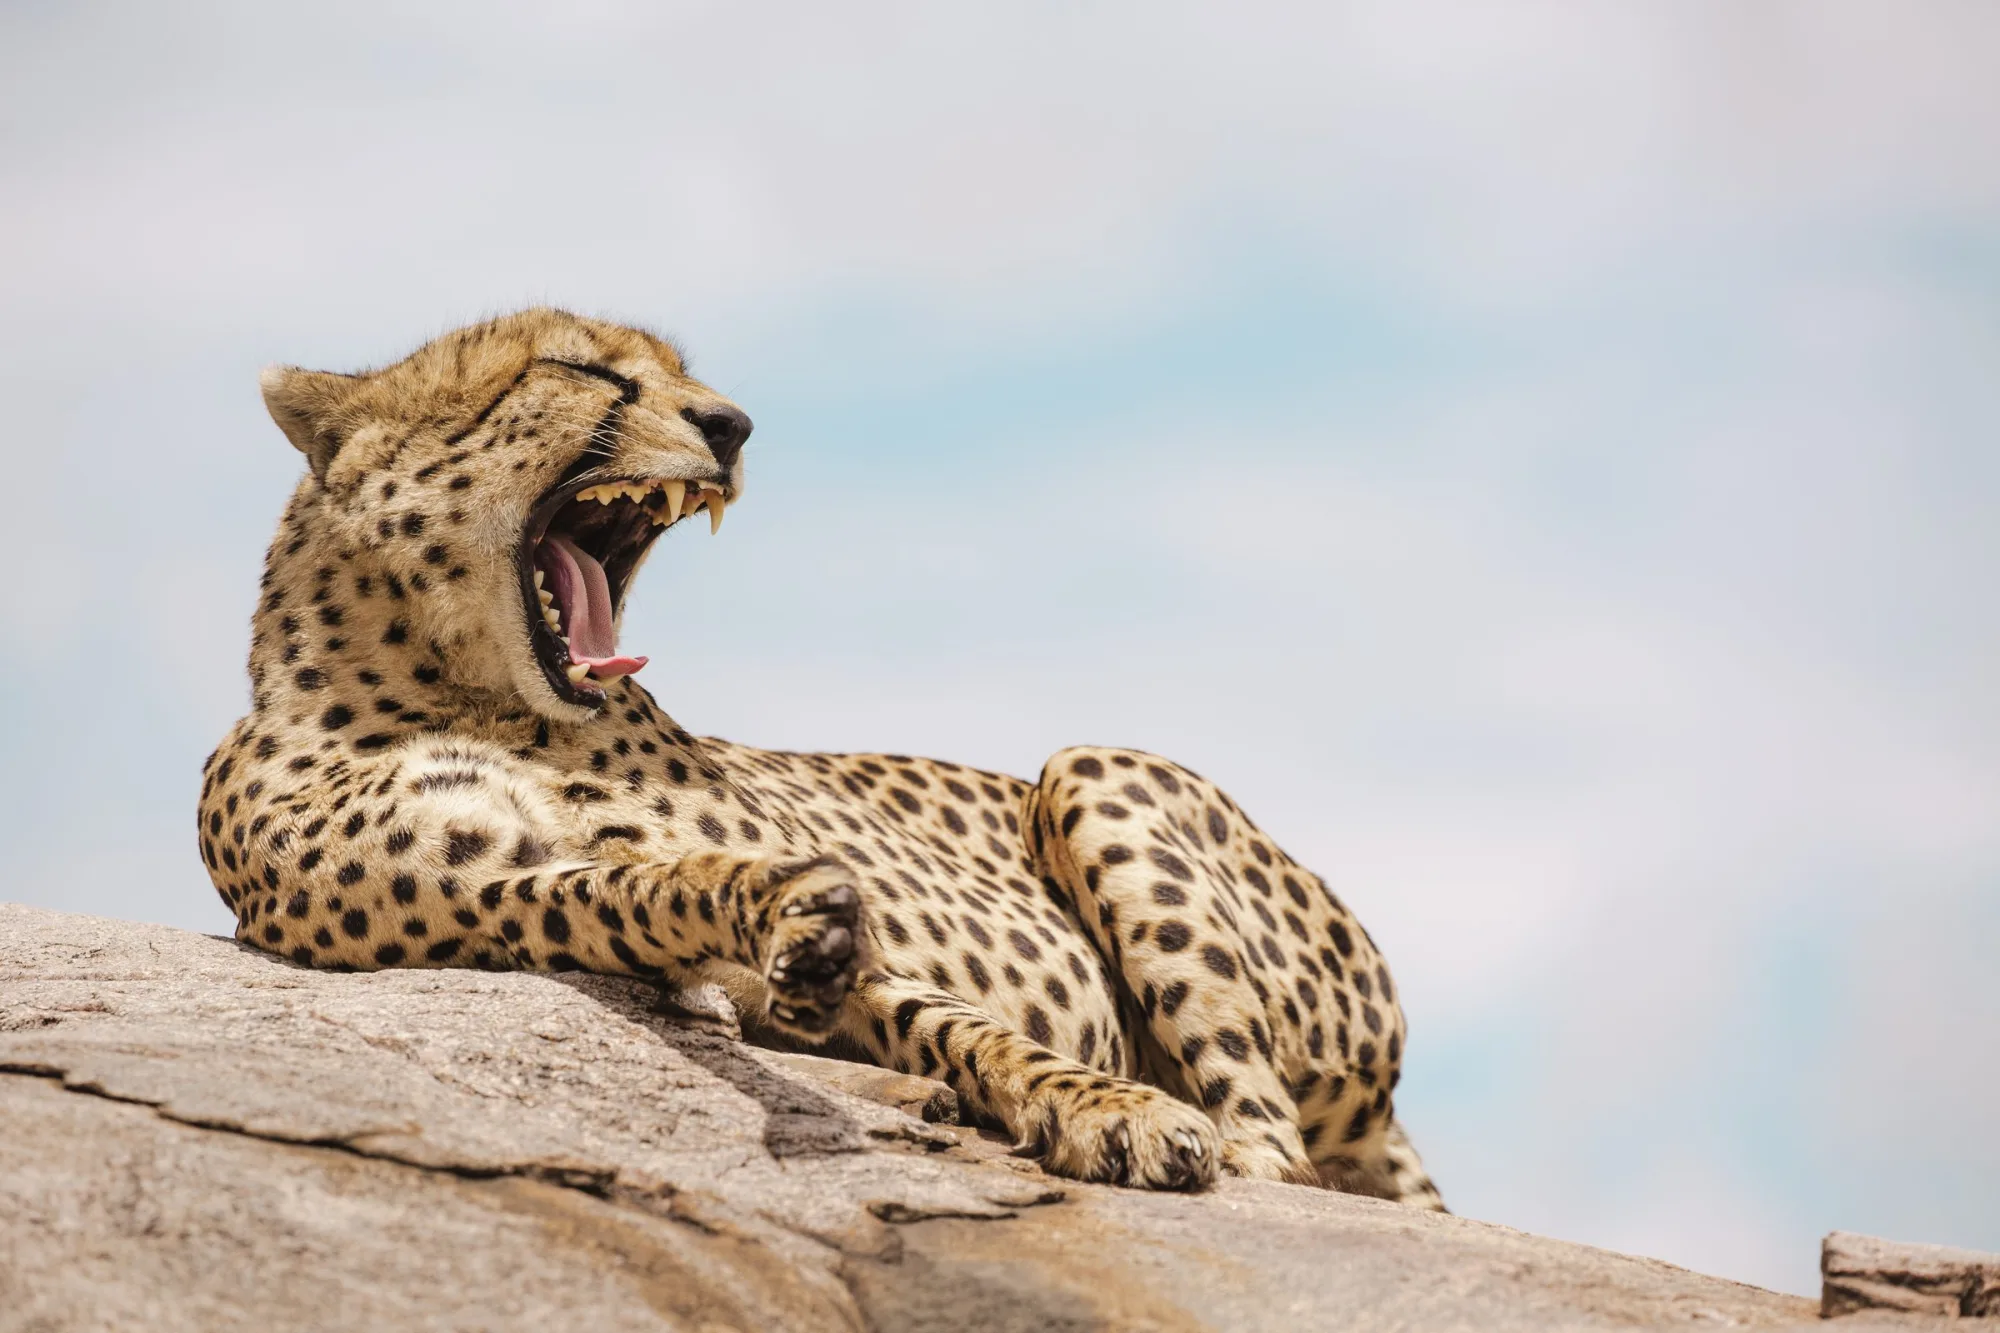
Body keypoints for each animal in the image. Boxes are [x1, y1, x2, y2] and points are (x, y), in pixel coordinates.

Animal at [196, 308, 1444, 1205]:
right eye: (585, 370)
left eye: (683, 374)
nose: (732, 424)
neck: (479, 697)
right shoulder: (497, 897)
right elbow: (656, 886)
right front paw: (780, 915)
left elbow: (969, 1023)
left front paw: (1105, 1107)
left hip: (1094, 769)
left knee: (1279, 1155)